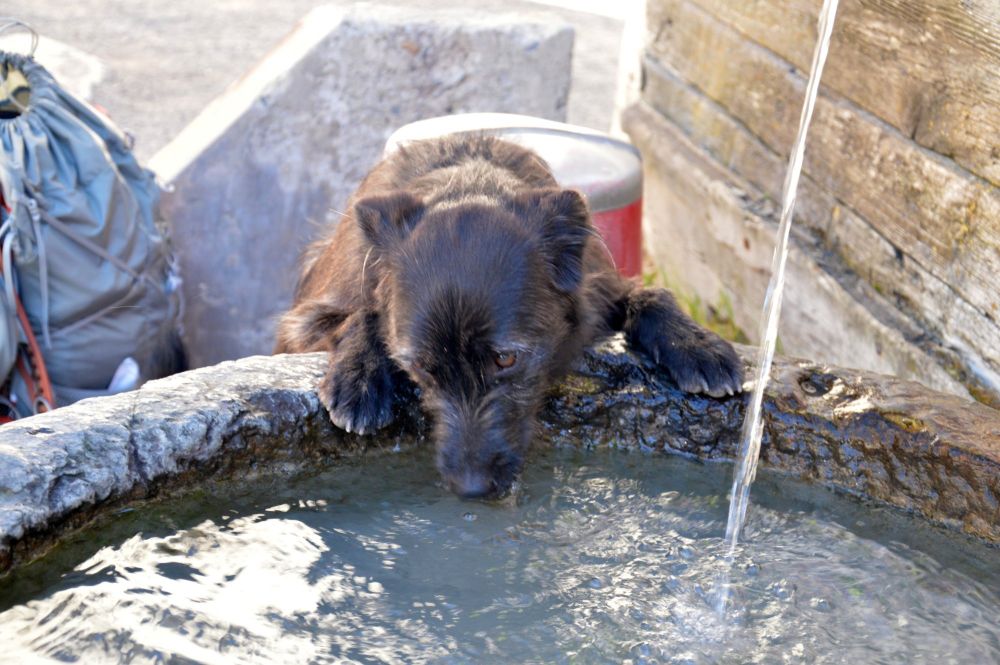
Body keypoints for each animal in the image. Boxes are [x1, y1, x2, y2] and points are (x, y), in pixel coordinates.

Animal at [274, 136, 744, 498]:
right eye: (421, 367)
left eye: (506, 359)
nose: (471, 488)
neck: (468, 183)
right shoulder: (303, 323)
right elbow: (361, 314)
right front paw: (360, 375)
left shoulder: (598, 289)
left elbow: (650, 294)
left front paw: (698, 345)